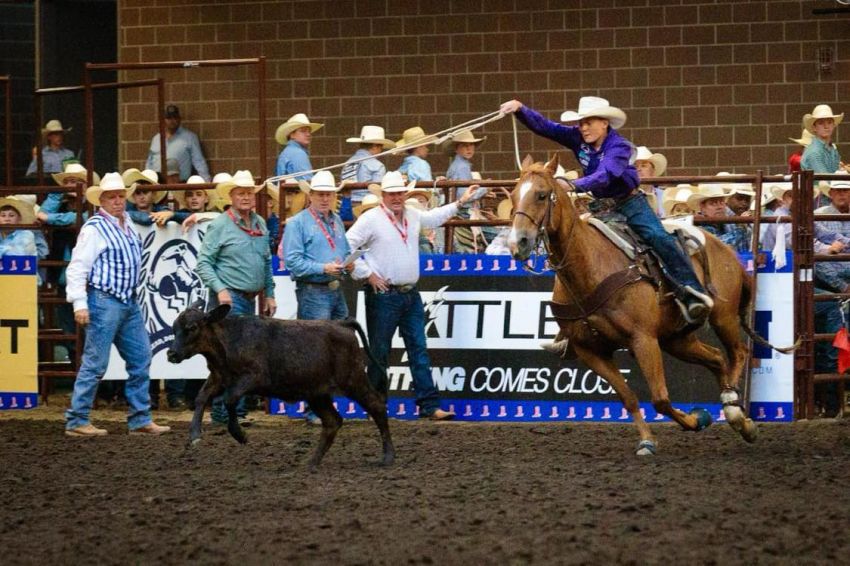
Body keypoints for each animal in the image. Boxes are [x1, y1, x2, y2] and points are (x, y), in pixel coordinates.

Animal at [506, 155, 780, 458]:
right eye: (514, 195)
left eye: (542, 195)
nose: (517, 243)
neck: (589, 265)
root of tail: (728, 251)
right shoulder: (590, 350)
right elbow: (628, 397)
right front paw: (651, 438)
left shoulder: (643, 339)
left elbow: (660, 398)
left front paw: (696, 419)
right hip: (676, 339)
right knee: (718, 358)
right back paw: (736, 413)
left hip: (723, 316)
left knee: (739, 351)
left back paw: (735, 411)